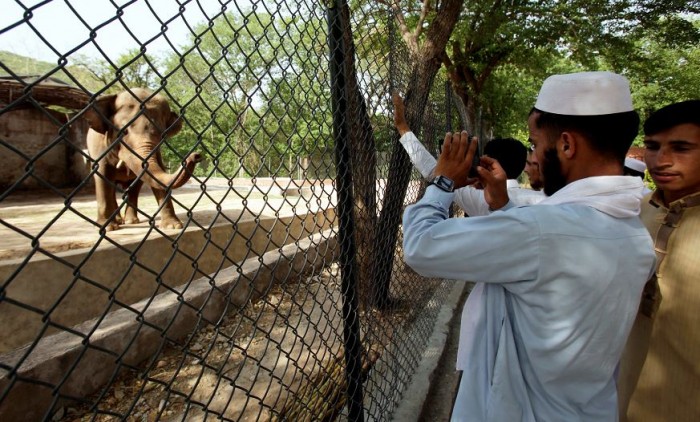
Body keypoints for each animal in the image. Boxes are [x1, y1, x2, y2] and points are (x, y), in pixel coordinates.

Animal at [83, 88, 202, 231]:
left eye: (161, 134)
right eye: (123, 132)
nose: (196, 155)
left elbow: (157, 176)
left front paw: (173, 226)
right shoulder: (100, 148)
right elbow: (102, 176)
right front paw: (107, 227)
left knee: (134, 188)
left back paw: (131, 221)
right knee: (111, 188)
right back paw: (118, 221)